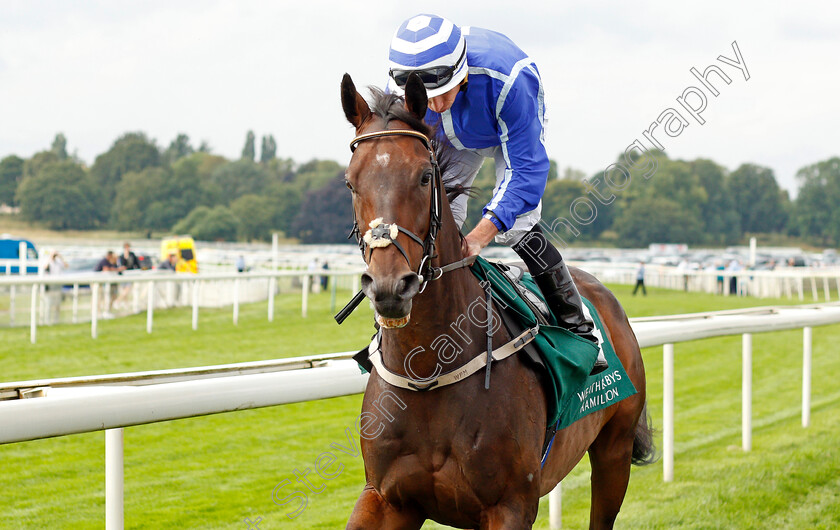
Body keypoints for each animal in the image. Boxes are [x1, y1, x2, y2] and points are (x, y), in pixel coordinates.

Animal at [342, 71, 656, 528]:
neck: (429, 370)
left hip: (614, 450)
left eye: (424, 176)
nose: (389, 287)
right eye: (350, 182)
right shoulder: (386, 498)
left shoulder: (511, 505)